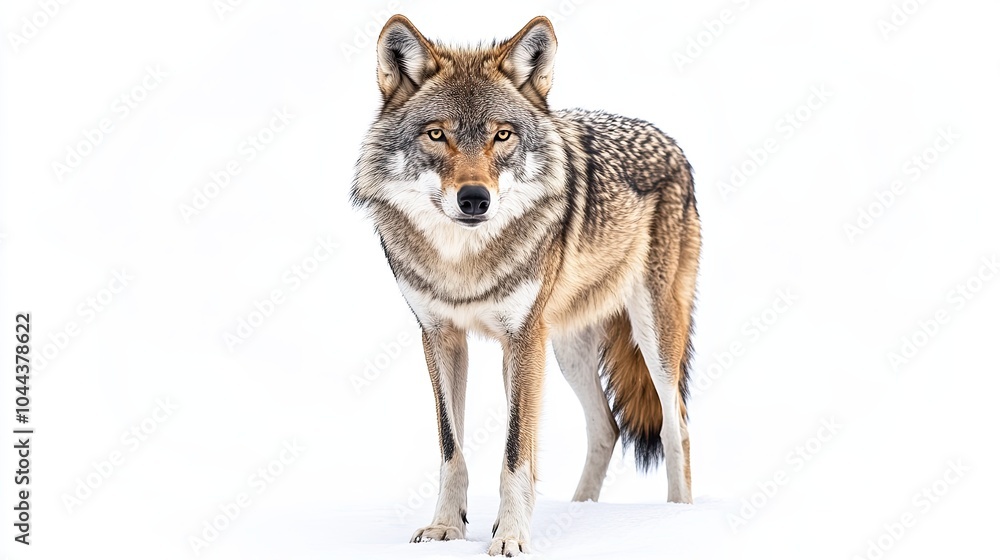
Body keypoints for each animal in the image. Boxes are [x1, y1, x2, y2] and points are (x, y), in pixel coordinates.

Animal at [351, 14, 701, 556]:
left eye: (502, 135)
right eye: (437, 134)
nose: (475, 199)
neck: (464, 265)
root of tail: (671, 142)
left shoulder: (521, 339)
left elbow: (516, 452)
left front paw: (512, 536)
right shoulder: (440, 337)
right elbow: (452, 449)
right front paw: (446, 528)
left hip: (650, 339)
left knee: (675, 424)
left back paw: (677, 520)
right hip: (564, 350)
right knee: (606, 427)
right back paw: (581, 511)